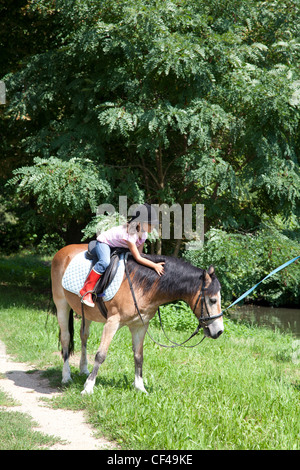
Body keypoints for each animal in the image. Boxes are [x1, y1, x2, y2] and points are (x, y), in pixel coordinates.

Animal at [51, 244, 223, 394]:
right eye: (212, 300)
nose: (219, 331)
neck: (141, 284)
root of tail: (63, 251)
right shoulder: (112, 322)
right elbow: (101, 355)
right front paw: (88, 388)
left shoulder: (140, 325)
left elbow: (139, 356)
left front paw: (140, 388)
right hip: (62, 305)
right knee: (66, 338)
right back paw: (66, 376)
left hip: (87, 314)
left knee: (84, 336)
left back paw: (83, 369)